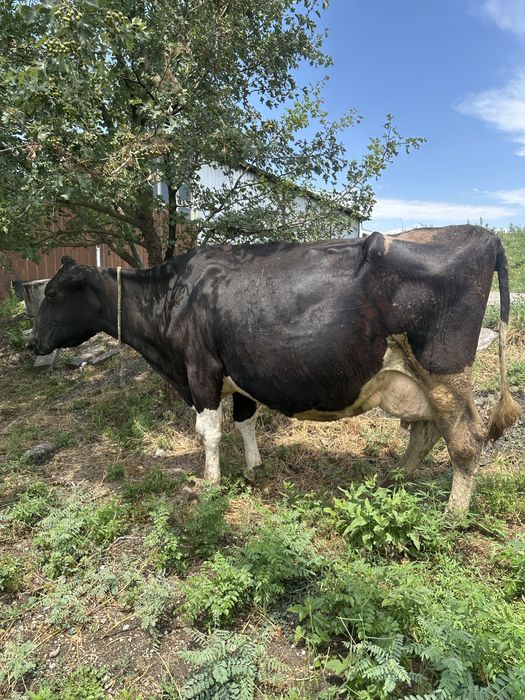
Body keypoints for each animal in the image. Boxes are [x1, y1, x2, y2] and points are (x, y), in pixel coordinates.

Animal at [28, 224, 521, 513]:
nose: (31, 342)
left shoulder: (200, 370)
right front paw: (253, 468)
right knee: (426, 429)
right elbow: (245, 422)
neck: (172, 295)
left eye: (52, 294)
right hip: (415, 377)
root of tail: (485, 234)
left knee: (466, 439)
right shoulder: (238, 374)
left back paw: (452, 515)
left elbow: (208, 432)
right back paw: (397, 477)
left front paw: (210, 484)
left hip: (444, 368)